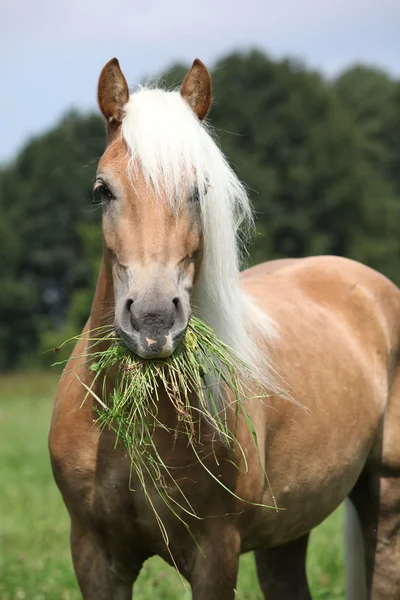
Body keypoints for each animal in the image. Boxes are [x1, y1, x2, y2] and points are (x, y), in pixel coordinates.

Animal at [48, 57, 400, 600]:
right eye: (102, 190)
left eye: (200, 190)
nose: (153, 321)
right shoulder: (94, 556)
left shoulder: (215, 554)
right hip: (288, 527)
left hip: (384, 501)